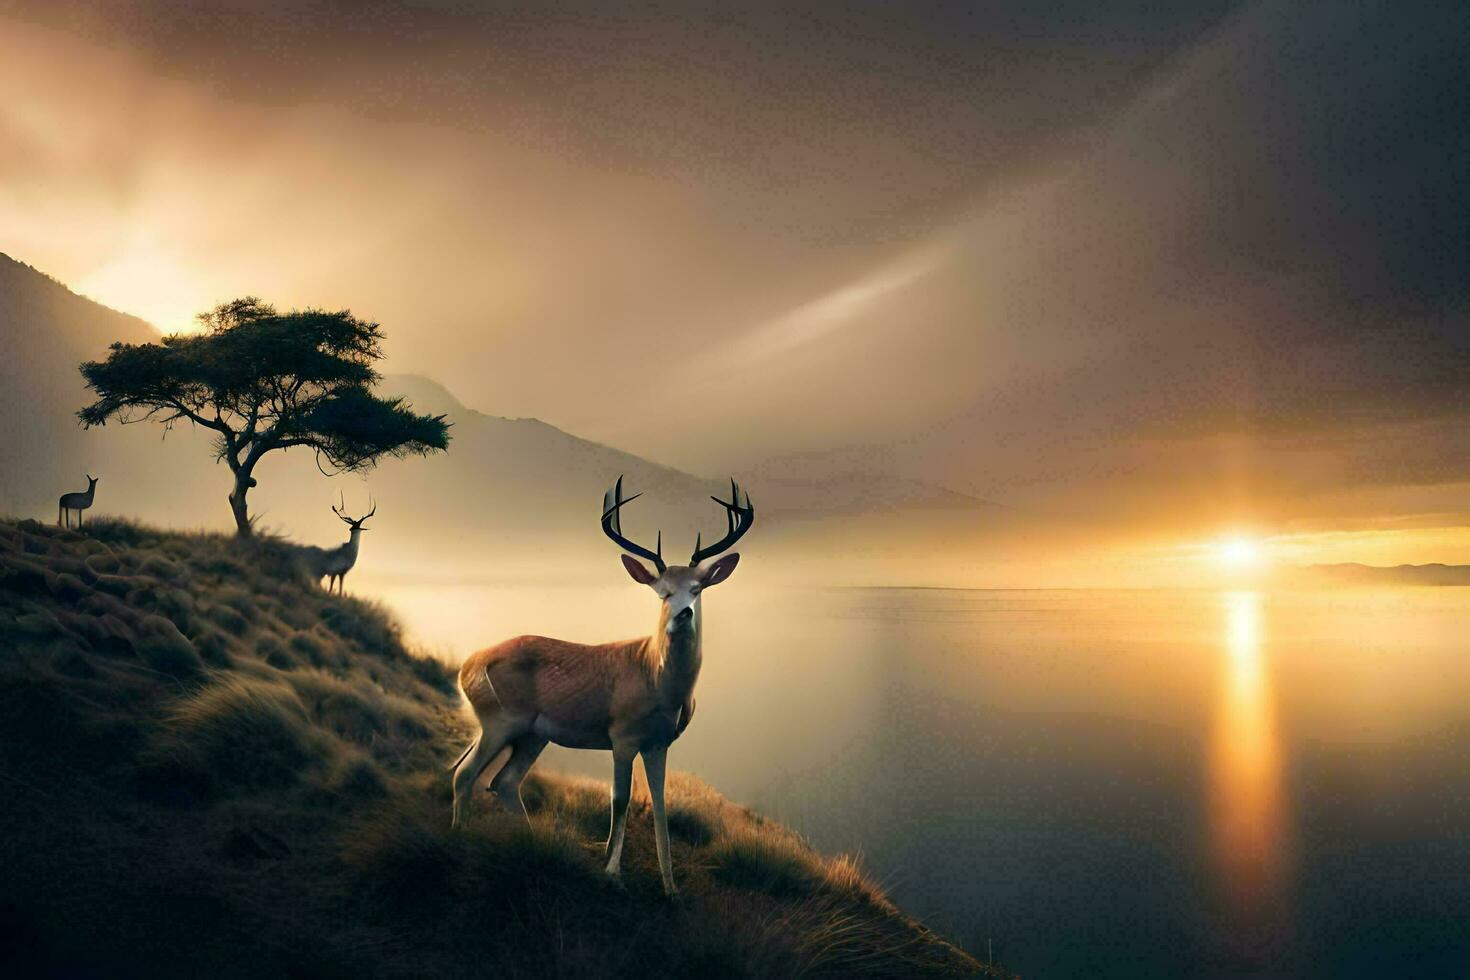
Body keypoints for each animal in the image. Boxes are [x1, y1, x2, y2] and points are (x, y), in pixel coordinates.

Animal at [449, 476, 758, 899]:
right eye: (661, 590)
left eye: (697, 588)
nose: (682, 615)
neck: (657, 682)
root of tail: (467, 665)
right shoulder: (622, 736)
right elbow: (621, 799)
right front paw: (612, 872)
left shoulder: (660, 742)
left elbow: (660, 805)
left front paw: (670, 887)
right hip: (500, 720)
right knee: (465, 774)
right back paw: (458, 840)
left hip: (531, 734)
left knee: (503, 781)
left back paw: (532, 840)